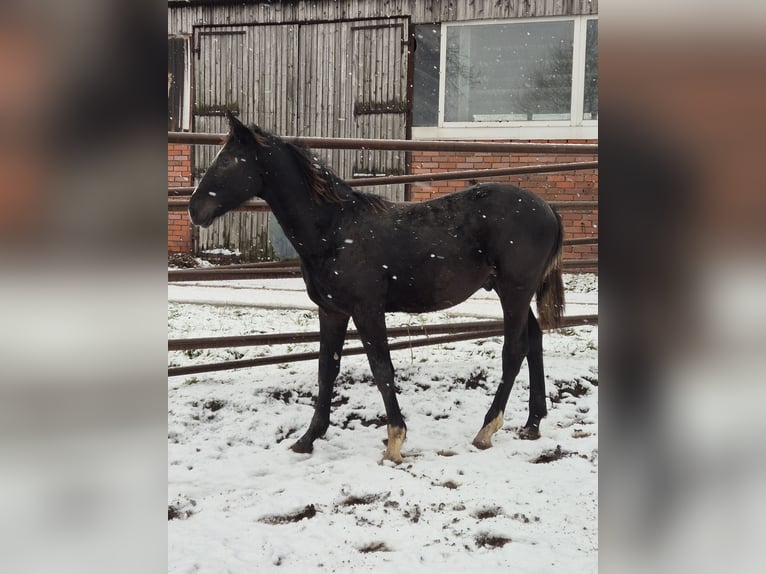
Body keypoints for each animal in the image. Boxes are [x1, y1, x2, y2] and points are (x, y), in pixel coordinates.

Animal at [189, 111, 565, 464]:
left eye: (227, 160)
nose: (194, 209)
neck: (334, 230)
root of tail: (548, 209)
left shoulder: (367, 310)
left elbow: (381, 368)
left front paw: (395, 442)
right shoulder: (332, 311)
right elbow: (327, 370)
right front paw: (308, 439)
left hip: (514, 291)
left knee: (514, 350)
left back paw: (486, 429)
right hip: (512, 292)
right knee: (534, 340)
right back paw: (532, 424)